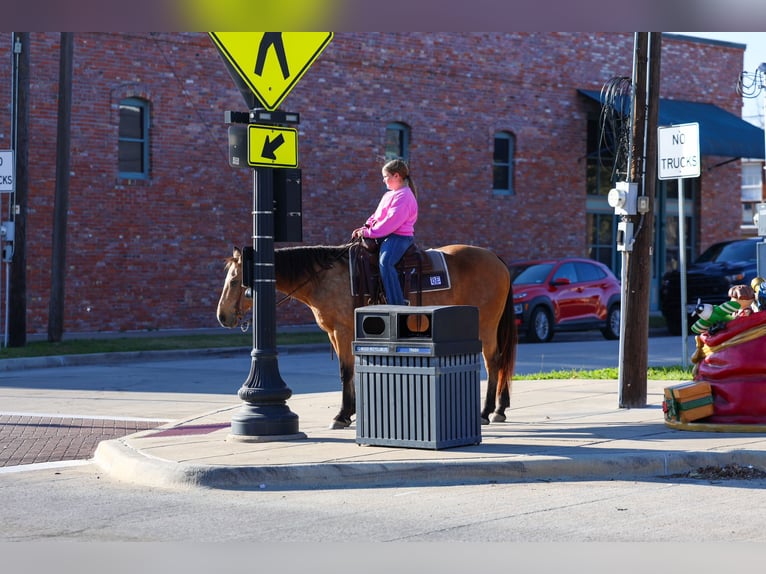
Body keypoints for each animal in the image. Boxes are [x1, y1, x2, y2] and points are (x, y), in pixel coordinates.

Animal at [217, 243, 518, 429]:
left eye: (234, 280)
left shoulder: (342, 330)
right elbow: (348, 372)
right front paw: (350, 413)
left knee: (493, 362)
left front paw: (341, 415)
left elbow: (345, 371)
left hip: (486, 325)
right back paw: (500, 409)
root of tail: (497, 259)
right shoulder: (335, 334)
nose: (222, 316)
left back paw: (486, 412)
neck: (322, 278)